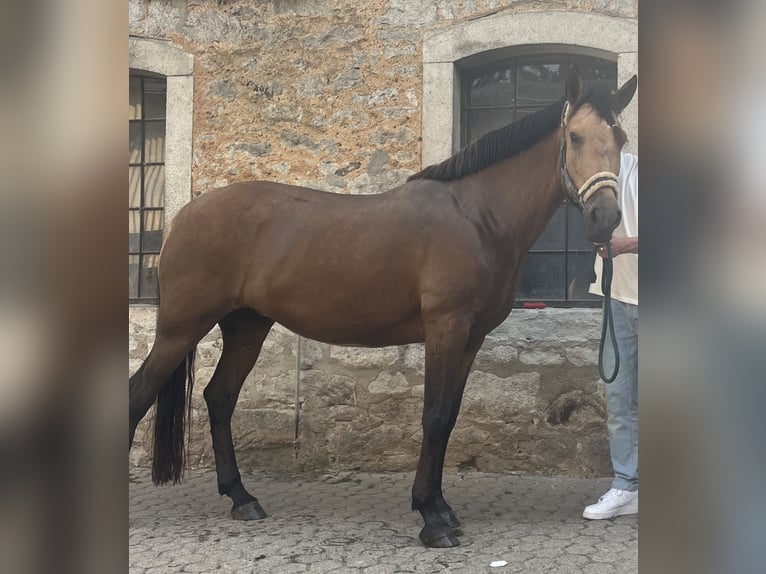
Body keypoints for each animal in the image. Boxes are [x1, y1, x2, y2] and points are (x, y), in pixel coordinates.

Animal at [130, 70, 636, 548]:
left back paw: (242, 498)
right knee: (140, 394)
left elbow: (449, 417)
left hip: (247, 327)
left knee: (219, 397)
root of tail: (183, 216)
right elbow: (434, 416)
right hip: (181, 328)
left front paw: (441, 507)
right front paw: (432, 520)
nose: (605, 218)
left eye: (621, 139)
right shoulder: (446, 328)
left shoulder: (471, 338)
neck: (476, 217)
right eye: (575, 136)